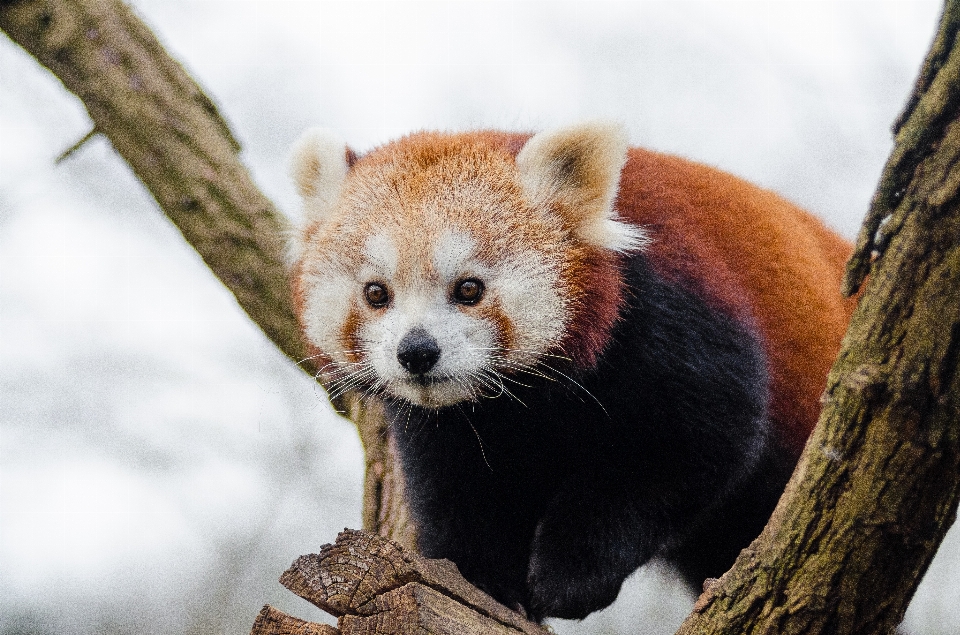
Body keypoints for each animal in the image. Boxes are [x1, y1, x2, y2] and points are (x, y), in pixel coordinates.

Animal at [286, 123, 856, 620]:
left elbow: (688, 451)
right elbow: (456, 490)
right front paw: (484, 579)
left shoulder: (679, 322)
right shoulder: (449, 427)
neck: (528, 400)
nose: (417, 352)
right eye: (376, 293)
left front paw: (568, 579)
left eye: (469, 288)